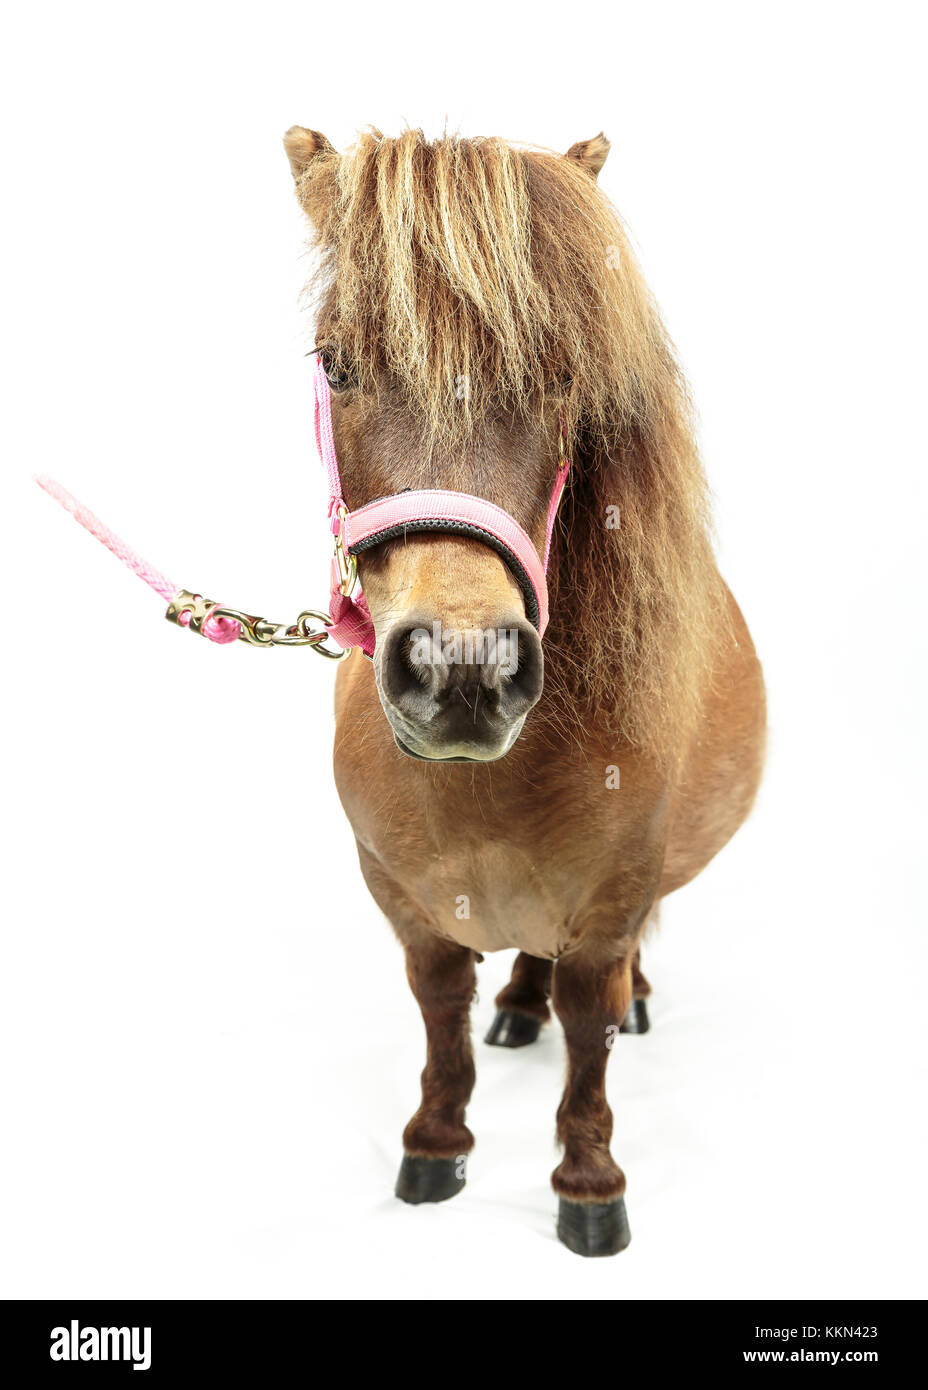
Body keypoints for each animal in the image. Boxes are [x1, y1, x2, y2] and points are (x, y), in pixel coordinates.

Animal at [284, 127, 766, 1262]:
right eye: (338, 364)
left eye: (558, 375)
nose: (463, 669)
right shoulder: (403, 901)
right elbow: (440, 1009)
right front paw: (436, 1143)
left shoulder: (609, 906)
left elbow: (590, 1033)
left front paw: (588, 1185)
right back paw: (516, 1004)